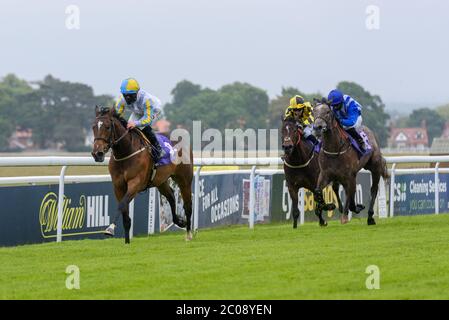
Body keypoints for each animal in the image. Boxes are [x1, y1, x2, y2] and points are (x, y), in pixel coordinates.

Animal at [90, 106, 192, 244]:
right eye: (93, 127)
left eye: (107, 127)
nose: (97, 153)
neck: (126, 152)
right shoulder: (118, 186)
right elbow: (125, 215)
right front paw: (127, 242)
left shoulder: (135, 183)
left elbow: (122, 204)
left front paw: (110, 229)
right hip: (161, 181)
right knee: (171, 195)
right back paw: (180, 221)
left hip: (184, 179)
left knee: (188, 205)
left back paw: (189, 234)